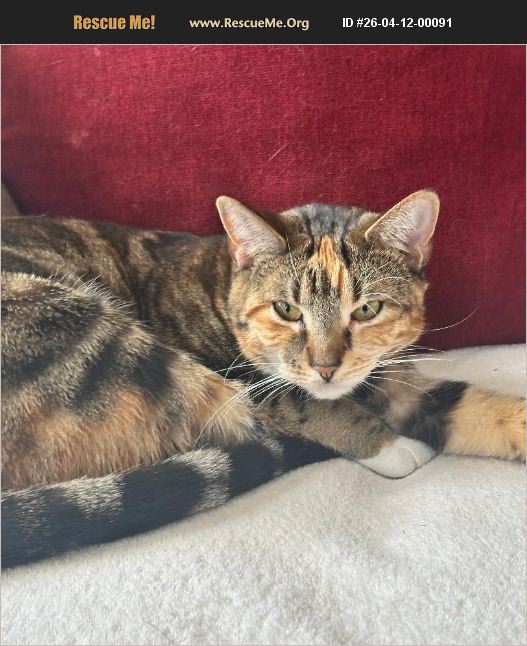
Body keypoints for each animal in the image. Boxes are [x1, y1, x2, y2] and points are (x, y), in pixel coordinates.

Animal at [1, 189, 525, 568]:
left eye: (368, 309)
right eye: (286, 309)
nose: (326, 366)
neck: (223, 283)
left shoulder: (381, 373)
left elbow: (458, 403)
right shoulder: (250, 381)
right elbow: (307, 404)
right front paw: (391, 446)